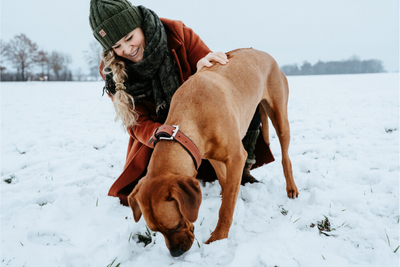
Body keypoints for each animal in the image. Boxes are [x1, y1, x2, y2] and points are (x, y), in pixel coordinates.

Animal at [126, 48, 298, 258]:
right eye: (156, 231)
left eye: (175, 226)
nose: (175, 253)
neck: (191, 116)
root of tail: (264, 54)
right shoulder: (206, 154)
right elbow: (225, 182)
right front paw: (227, 195)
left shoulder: (237, 157)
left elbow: (226, 208)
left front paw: (218, 237)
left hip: (280, 116)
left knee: (285, 157)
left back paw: (291, 187)